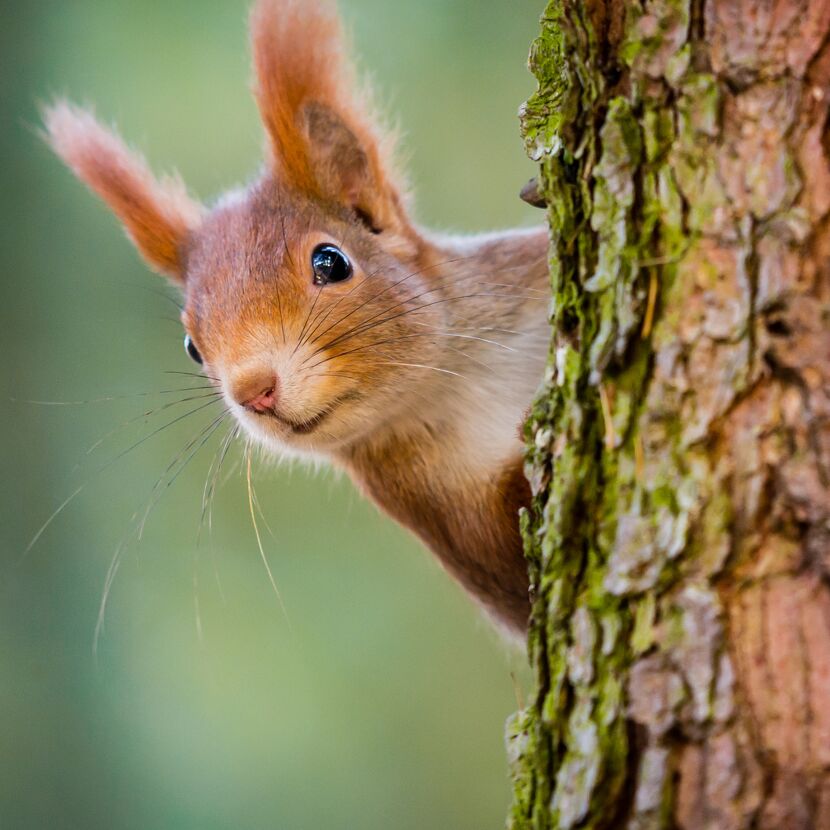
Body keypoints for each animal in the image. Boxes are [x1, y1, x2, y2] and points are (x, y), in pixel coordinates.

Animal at [43, 0, 550, 637]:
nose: (253, 390)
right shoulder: (447, 519)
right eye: (191, 346)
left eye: (331, 262)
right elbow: (515, 574)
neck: (459, 385)